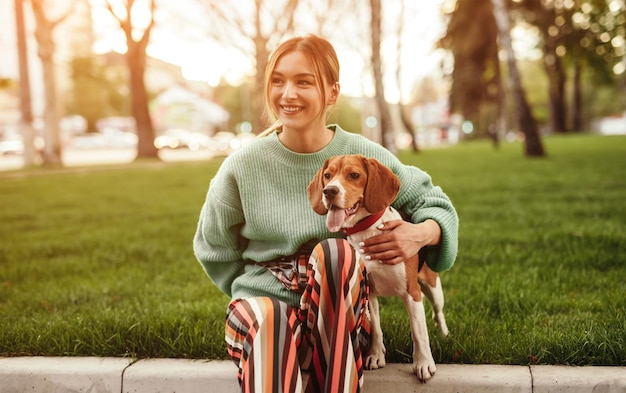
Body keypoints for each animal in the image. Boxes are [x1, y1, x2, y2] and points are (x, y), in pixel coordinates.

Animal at [306, 155, 444, 382]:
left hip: (433, 288)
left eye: (354, 175)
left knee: (438, 312)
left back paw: (444, 334)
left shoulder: (411, 292)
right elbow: (377, 329)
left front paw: (424, 363)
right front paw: (376, 355)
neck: (366, 231)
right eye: (327, 175)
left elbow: (418, 332)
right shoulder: (369, 292)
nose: (329, 191)